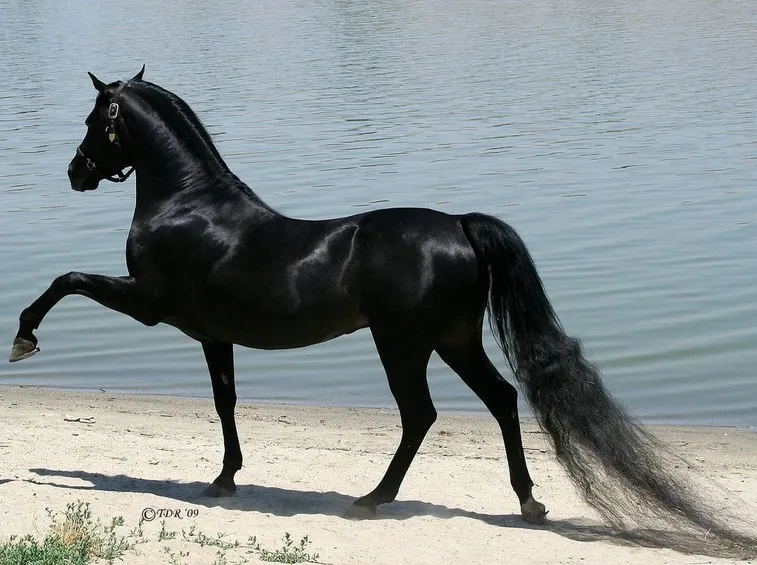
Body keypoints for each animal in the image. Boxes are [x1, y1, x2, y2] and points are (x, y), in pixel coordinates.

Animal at [8, 68, 754, 542]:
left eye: (94, 120)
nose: (75, 173)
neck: (189, 205)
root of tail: (458, 224)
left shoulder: (149, 304)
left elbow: (66, 278)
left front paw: (23, 338)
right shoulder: (211, 335)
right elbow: (225, 402)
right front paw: (224, 478)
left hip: (403, 345)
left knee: (421, 415)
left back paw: (374, 499)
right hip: (453, 341)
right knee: (502, 400)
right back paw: (528, 502)